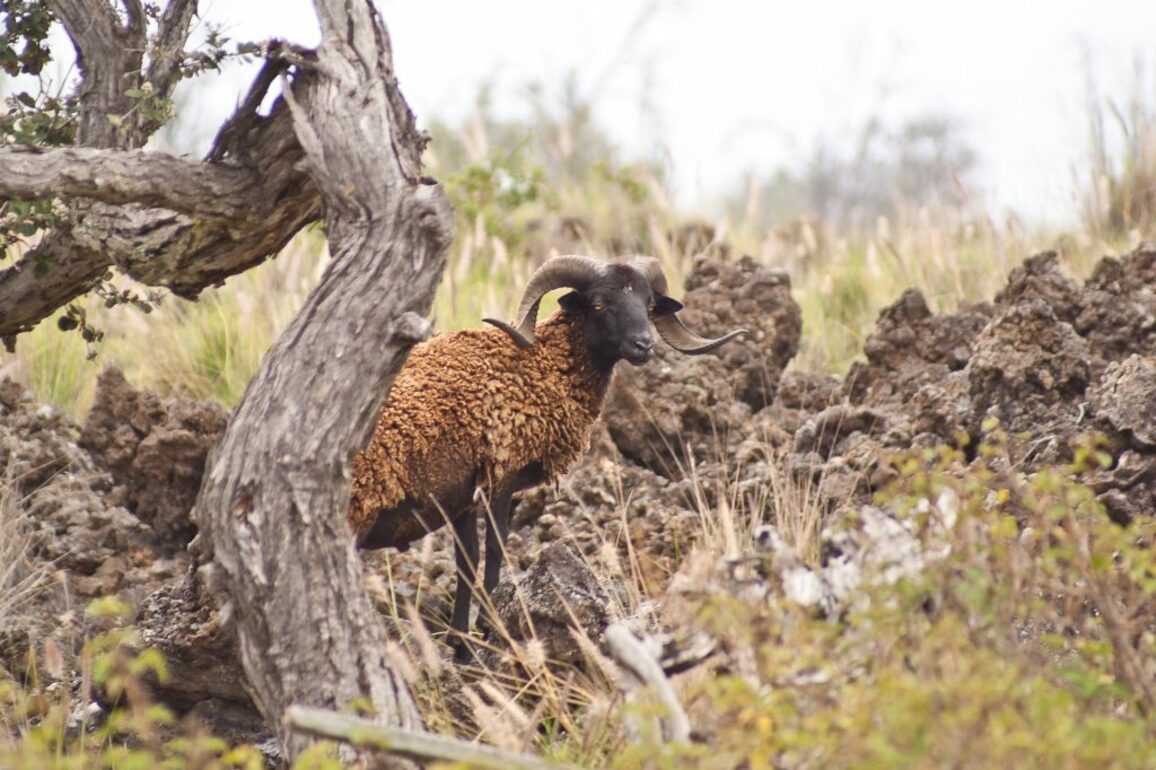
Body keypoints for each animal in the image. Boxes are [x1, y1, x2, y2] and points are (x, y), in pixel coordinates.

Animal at [348, 254, 746, 659]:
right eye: (598, 304)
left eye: (649, 305)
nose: (643, 345)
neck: (539, 364)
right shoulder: (502, 475)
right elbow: (495, 548)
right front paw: (489, 626)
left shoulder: (461, 496)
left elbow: (466, 560)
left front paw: (461, 643)